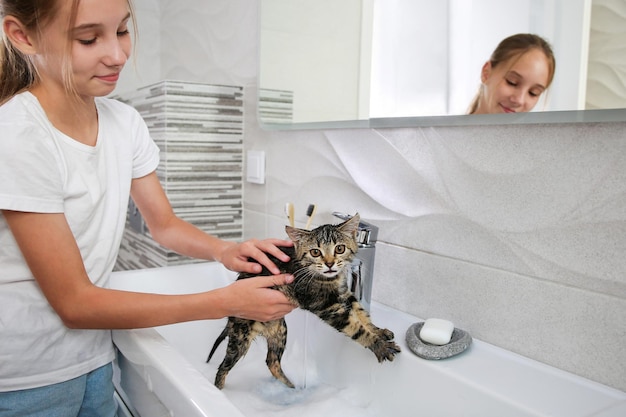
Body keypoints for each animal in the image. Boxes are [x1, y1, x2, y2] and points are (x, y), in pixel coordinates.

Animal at [205, 213, 400, 388]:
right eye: (315, 252)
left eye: (339, 249)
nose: (330, 264)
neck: (328, 278)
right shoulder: (325, 306)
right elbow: (356, 328)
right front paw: (379, 345)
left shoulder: (345, 294)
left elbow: (361, 314)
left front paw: (379, 331)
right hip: (242, 335)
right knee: (223, 367)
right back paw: (219, 389)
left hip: (279, 330)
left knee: (271, 361)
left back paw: (291, 386)